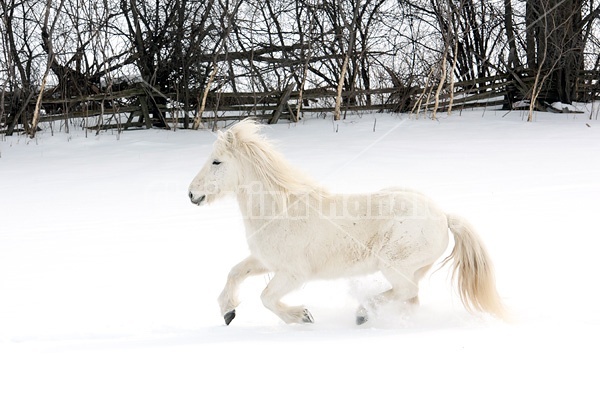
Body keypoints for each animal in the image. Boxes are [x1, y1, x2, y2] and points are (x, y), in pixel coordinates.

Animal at [189, 119, 506, 324]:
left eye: (216, 162)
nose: (192, 194)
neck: (281, 210)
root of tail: (444, 216)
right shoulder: (265, 261)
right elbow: (234, 273)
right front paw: (228, 312)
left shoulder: (293, 274)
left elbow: (266, 297)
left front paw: (301, 316)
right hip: (412, 269)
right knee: (410, 299)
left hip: (396, 265)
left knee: (407, 291)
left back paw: (363, 313)